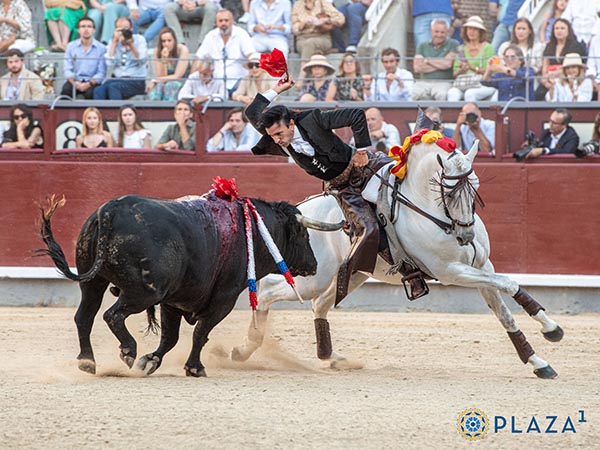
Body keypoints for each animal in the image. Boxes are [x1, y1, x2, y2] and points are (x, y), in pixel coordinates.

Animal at [37, 192, 318, 376]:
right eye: (304, 235)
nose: (314, 265)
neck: (254, 232)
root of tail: (110, 211)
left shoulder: (173, 300)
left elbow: (170, 337)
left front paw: (151, 361)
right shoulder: (223, 300)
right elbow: (200, 333)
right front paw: (194, 367)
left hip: (94, 282)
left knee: (84, 317)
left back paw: (87, 362)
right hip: (144, 293)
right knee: (112, 315)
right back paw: (128, 351)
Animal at [230, 140, 564, 376]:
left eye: (476, 187)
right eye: (449, 192)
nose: (466, 236)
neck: (429, 209)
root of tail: (300, 211)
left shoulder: (481, 266)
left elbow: (504, 311)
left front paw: (539, 357)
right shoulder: (450, 272)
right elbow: (509, 283)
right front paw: (551, 330)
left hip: (352, 274)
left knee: (318, 305)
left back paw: (333, 357)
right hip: (316, 275)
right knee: (270, 290)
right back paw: (244, 349)